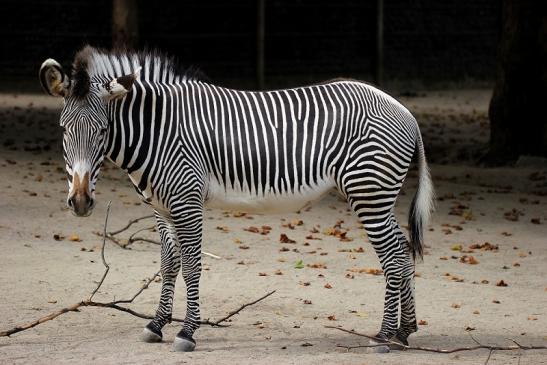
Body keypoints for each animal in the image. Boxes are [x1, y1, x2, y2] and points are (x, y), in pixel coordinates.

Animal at [38, 44, 434, 350]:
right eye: (63, 130)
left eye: (103, 130)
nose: (80, 202)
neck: (158, 131)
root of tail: (404, 111)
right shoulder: (161, 208)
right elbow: (169, 264)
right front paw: (157, 324)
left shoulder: (186, 200)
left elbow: (192, 264)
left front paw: (187, 332)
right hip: (379, 195)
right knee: (403, 251)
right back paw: (404, 331)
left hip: (368, 191)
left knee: (393, 257)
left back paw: (383, 335)